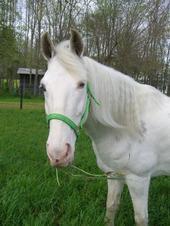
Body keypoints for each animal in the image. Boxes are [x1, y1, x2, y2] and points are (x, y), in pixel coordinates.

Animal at [40, 29, 170, 225]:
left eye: (82, 84)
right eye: (43, 87)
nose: (58, 154)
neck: (127, 128)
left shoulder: (139, 180)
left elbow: (141, 218)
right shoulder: (114, 174)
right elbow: (111, 208)